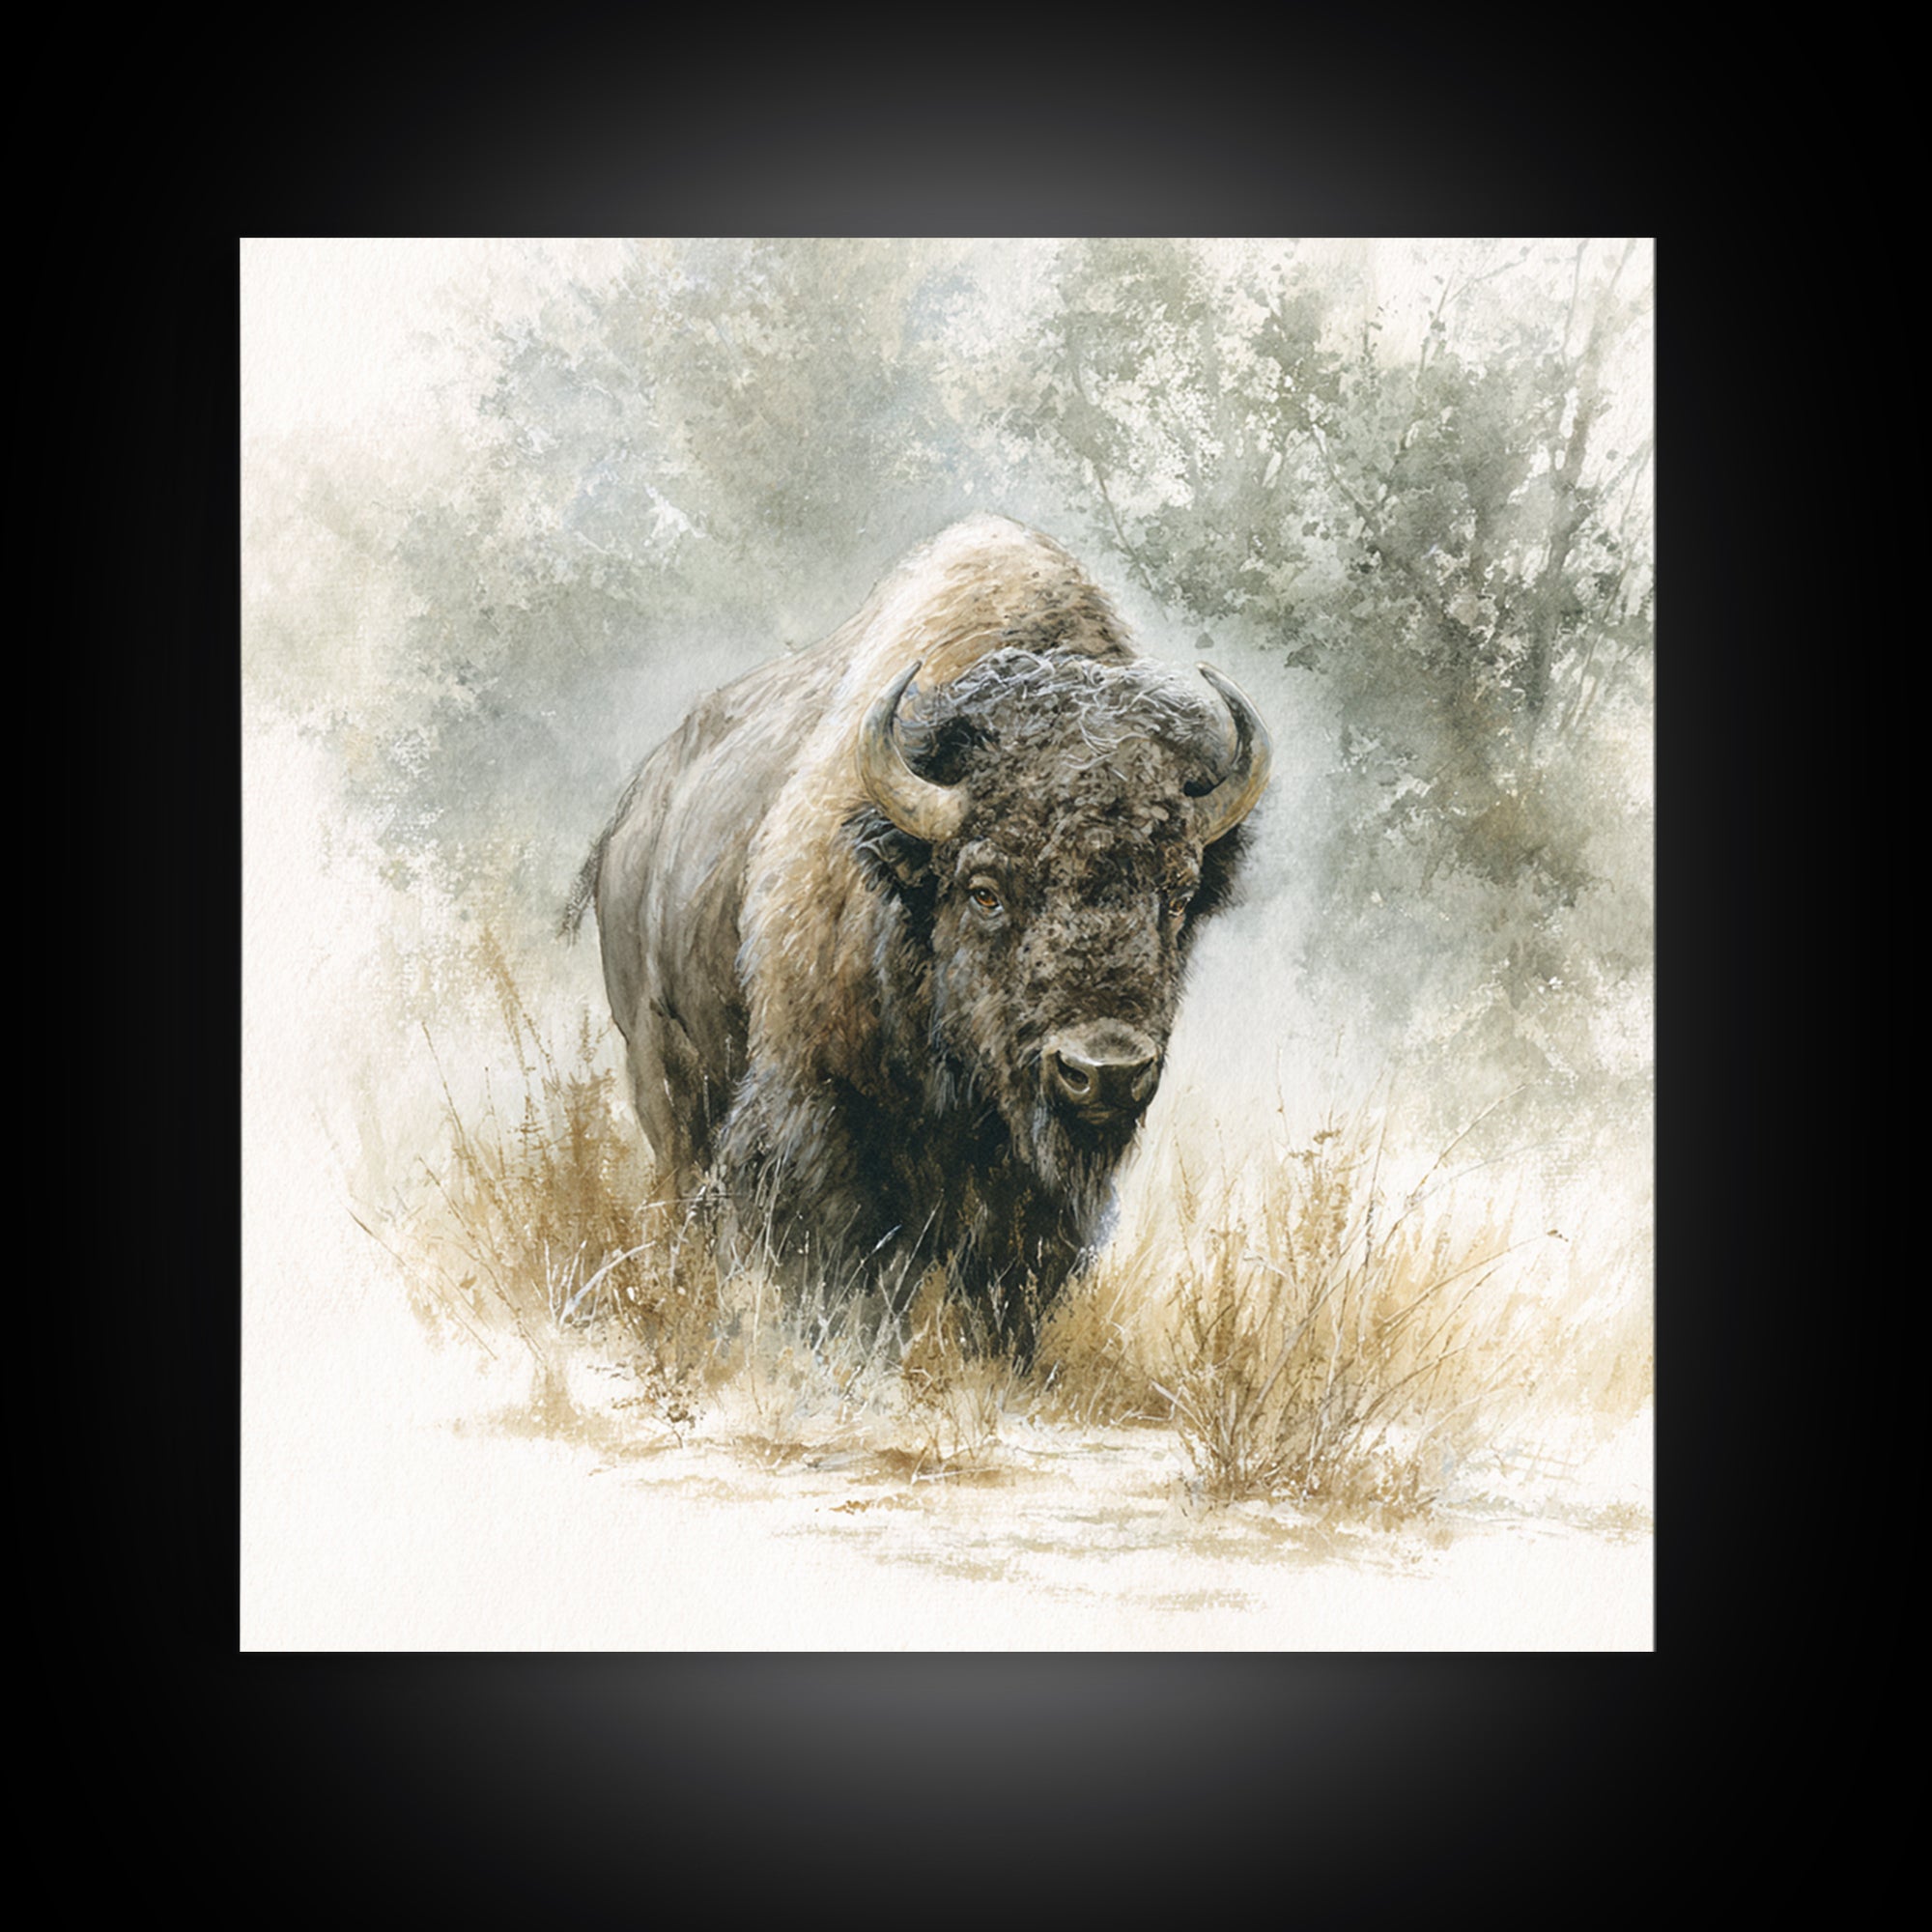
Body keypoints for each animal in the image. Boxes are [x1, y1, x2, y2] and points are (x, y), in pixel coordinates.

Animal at [565, 515, 1270, 1350]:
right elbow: (840, 1269)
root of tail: (629, 818)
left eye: (1178, 893)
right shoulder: (818, 1114)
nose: (1104, 1071)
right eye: (985, 890)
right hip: (664, 1073)